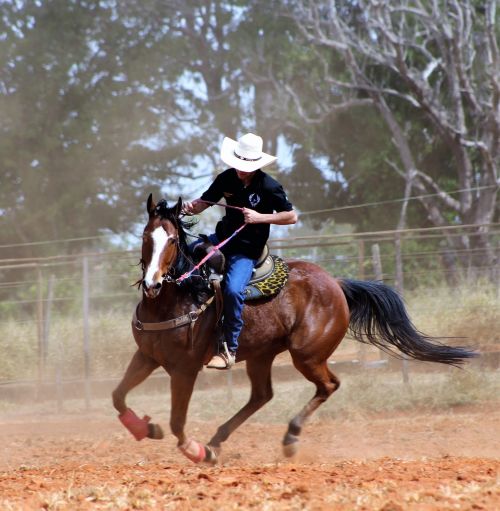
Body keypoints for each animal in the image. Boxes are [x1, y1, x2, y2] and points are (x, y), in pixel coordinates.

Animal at [113, 195, 476, 464]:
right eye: (146, 237)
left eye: (173, 240)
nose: (153, 284)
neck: (182, 295)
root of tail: (337, 284)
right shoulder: (146, 356)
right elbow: (118, 396)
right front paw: (145, 429)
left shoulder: (184, 369)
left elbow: (177, 421)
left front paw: (195, 451)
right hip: (262, 354)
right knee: (262, 395)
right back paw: (218, 441)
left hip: (307, 355)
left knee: (328, 385)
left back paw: (288, 438)